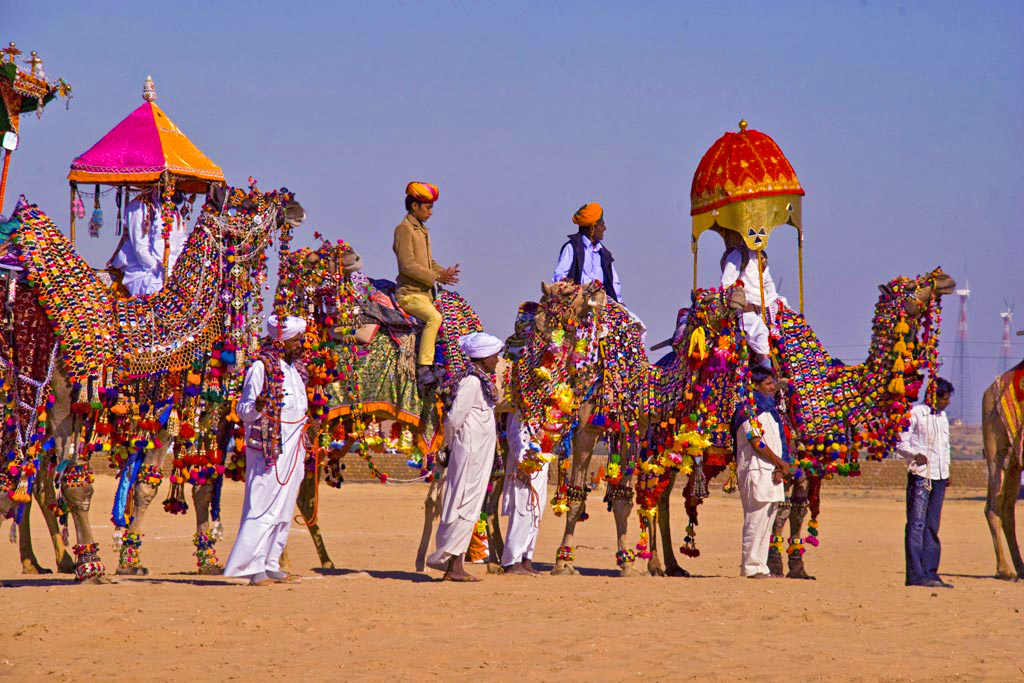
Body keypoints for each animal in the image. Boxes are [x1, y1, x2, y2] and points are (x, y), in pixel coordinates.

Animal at [0, 187, 303, 581]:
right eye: (246, 201)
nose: (294, 205)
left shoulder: (194, 412)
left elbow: (193, 483)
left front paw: (204, 559)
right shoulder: (89, 404)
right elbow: (104, 485)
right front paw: (101, 563)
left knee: (28, 477)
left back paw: (40, 561)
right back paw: (56, 560)